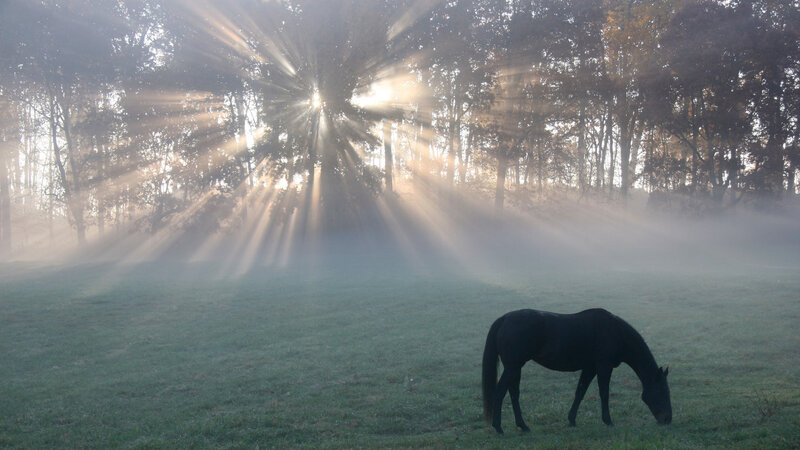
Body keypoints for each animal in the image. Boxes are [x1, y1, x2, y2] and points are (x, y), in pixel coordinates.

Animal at [482, 308, 671, 435]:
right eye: (663, 392)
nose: (667, 420)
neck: (615, 332)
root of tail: (505, 318)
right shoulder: (604, 366)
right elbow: (604, 393)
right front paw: (608, 421)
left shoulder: (590, 367)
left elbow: (580, 392)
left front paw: (572, 420)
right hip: (513, 367)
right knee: (500, 392)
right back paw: (499, 427)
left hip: (515, 368)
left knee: (514, 393)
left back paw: (523, 425)